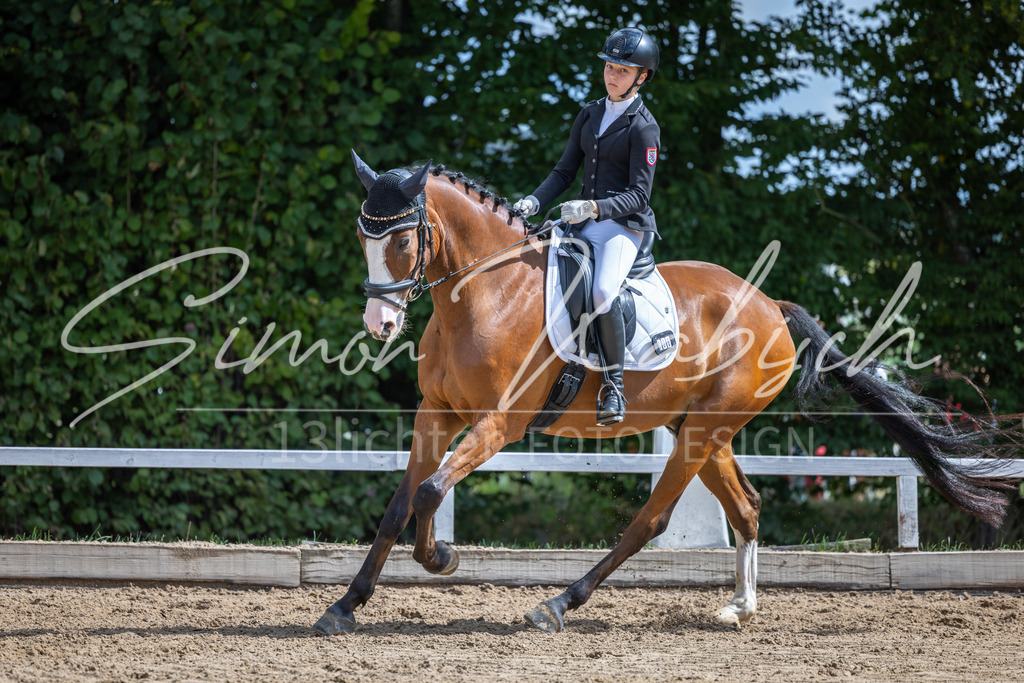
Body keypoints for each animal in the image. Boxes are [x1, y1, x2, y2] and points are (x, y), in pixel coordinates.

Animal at [314, 152, 1012, 635]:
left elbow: (431, 492)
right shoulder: (436, 413)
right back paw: (738, 608)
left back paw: (558, 604)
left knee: (650, 520)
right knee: (747, 507)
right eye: (362, 237)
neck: (486, 292)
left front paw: (442, 558)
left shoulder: (500, 423)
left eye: (403, 239)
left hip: (701, 432)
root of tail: (769, 306)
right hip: (700, 429)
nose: (378, 326)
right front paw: (345, 606)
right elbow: (398, 506)